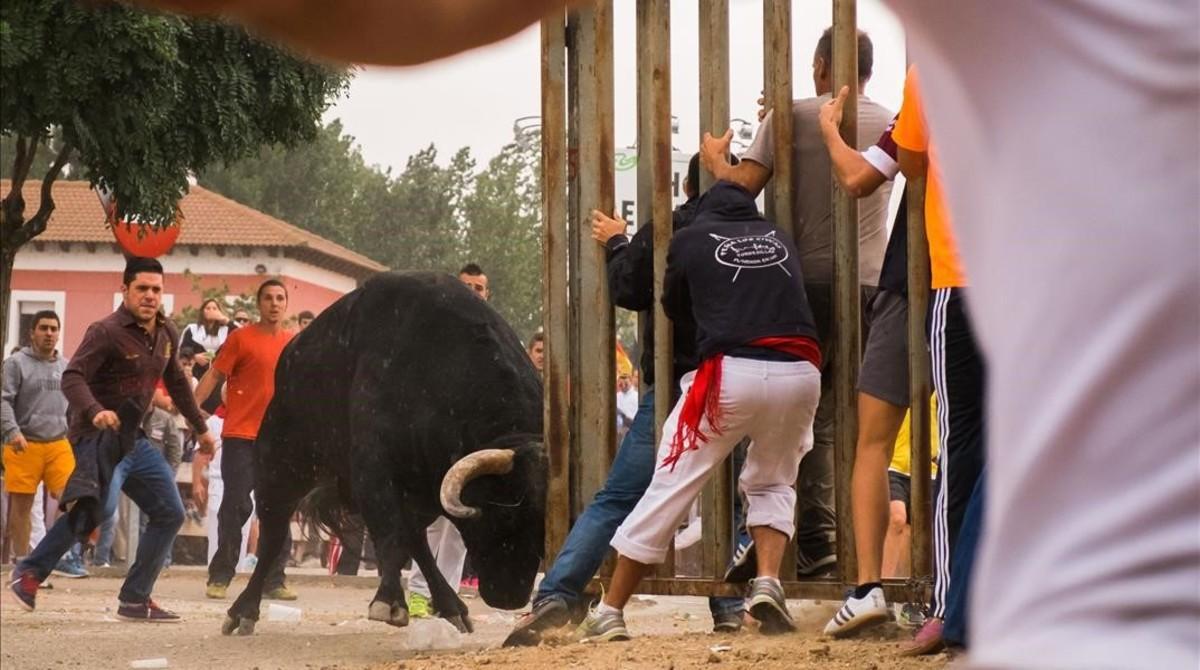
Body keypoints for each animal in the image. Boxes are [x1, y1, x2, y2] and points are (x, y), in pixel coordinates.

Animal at [223, 271, 547, 633]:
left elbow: (406, 538)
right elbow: (390, 535)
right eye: (504, 513)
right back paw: (244, 610)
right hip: (280, 460)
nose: (511, 595)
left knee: (416, 540)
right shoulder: (374, 471)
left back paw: (451, 605)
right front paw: (389, 602)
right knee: (273, 533)